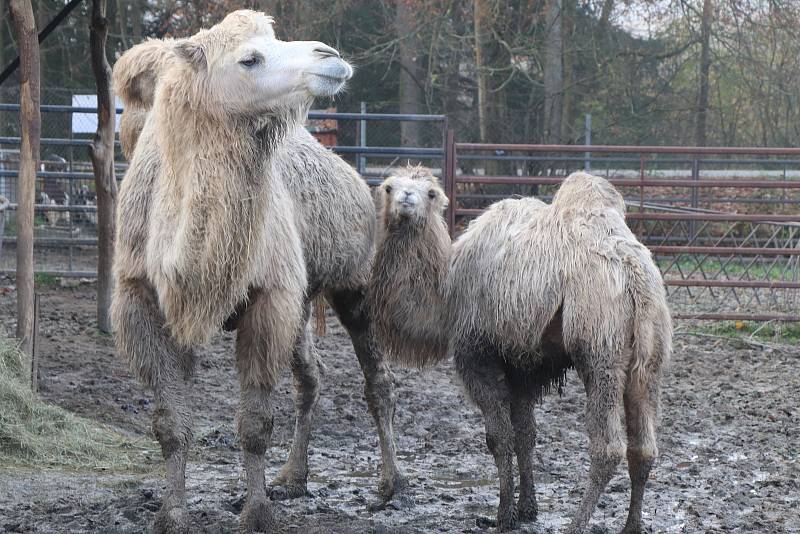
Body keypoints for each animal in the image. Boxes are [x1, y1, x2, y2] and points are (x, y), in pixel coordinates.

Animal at [111, 10, 406, 532]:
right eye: (249, 59)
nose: (330, 57)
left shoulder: (269, 298)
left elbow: (254, 425)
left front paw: (257, 511)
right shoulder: (145, 302)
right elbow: (171, 424)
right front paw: (172, 514)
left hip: (353, 284)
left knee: (377, 380)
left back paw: (388, 486)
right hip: (302, 298)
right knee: (311, 376)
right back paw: (292, 477)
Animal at [372, 166, 672, 532]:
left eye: (430, 193)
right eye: (389, 187)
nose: (406, 200)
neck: (447, 295)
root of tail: (634, 275)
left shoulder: (477, 354)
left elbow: (498, 438)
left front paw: (503, 515)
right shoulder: (523, 366)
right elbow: (525, 434)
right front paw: (528, 509)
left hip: (600, 345)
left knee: (608, 446)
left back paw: (575, 524)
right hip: (650, 354)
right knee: (644, 446)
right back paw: (631, 526)